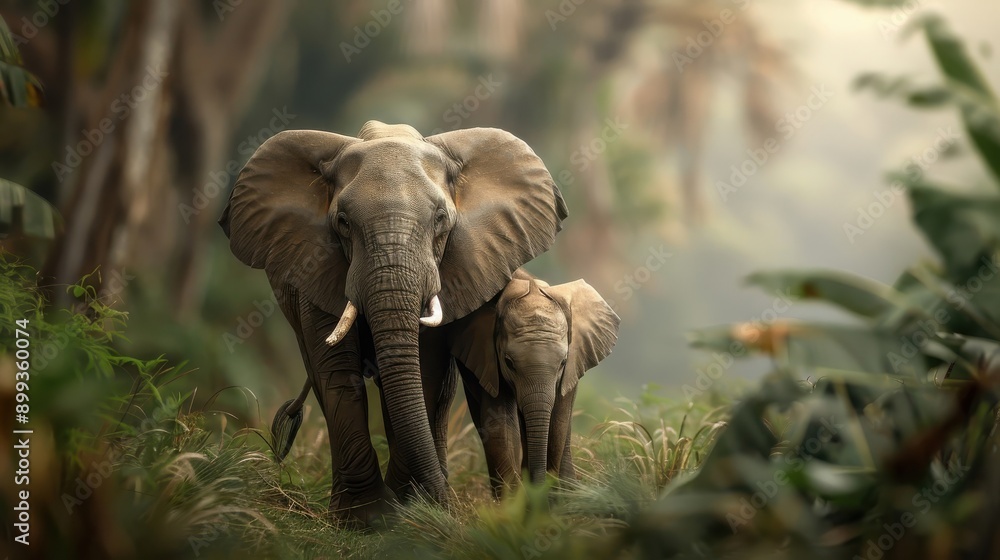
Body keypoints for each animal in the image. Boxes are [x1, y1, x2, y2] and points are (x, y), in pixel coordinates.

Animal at [218, 121, 567, 525]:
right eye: (343, 223)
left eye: (440, 220)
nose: (451, 516)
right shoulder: (314, 262)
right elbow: (337, 372)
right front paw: (366, 519)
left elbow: (425, 369)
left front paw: (411, 509)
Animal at [448, 270, 620, 492]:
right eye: (508, 362)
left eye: (563, 362)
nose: (537, 486)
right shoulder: (487, 361)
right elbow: (500, 423)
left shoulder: (573, 367)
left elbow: (558, 421)